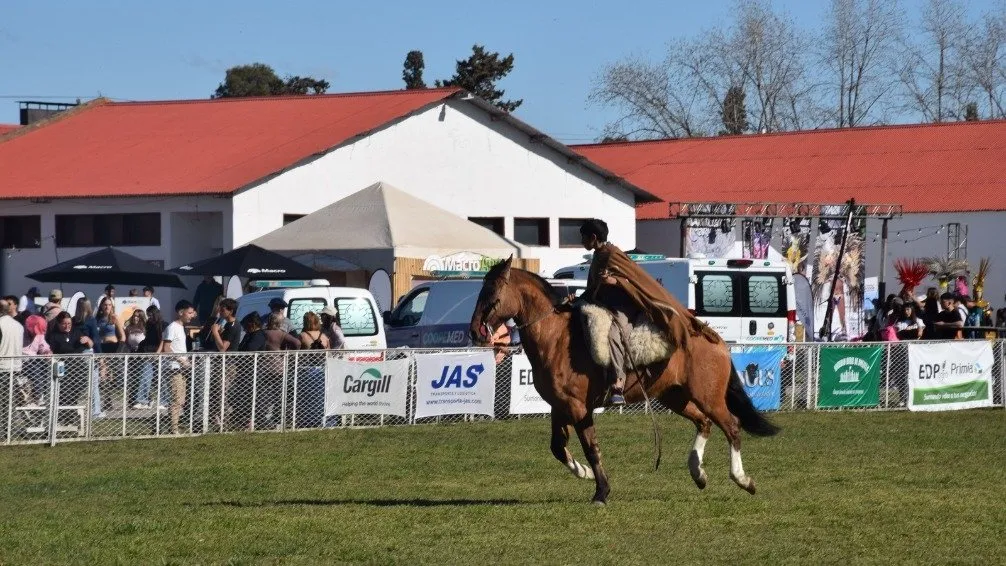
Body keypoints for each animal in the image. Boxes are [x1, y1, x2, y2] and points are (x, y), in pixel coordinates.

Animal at [466, 257, 780, 504]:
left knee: (732, 427)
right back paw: (698, 473)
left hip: (709, 397)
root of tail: (713, 338)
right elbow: (557, 447)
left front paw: (601, 491)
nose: (475, 330)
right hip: (676, 397)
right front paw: (585, 473)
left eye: (492, 290)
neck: (555, 338)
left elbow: (591, 447)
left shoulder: (579, 409)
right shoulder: (560, 406)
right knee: (704, 423)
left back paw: (742, 479)